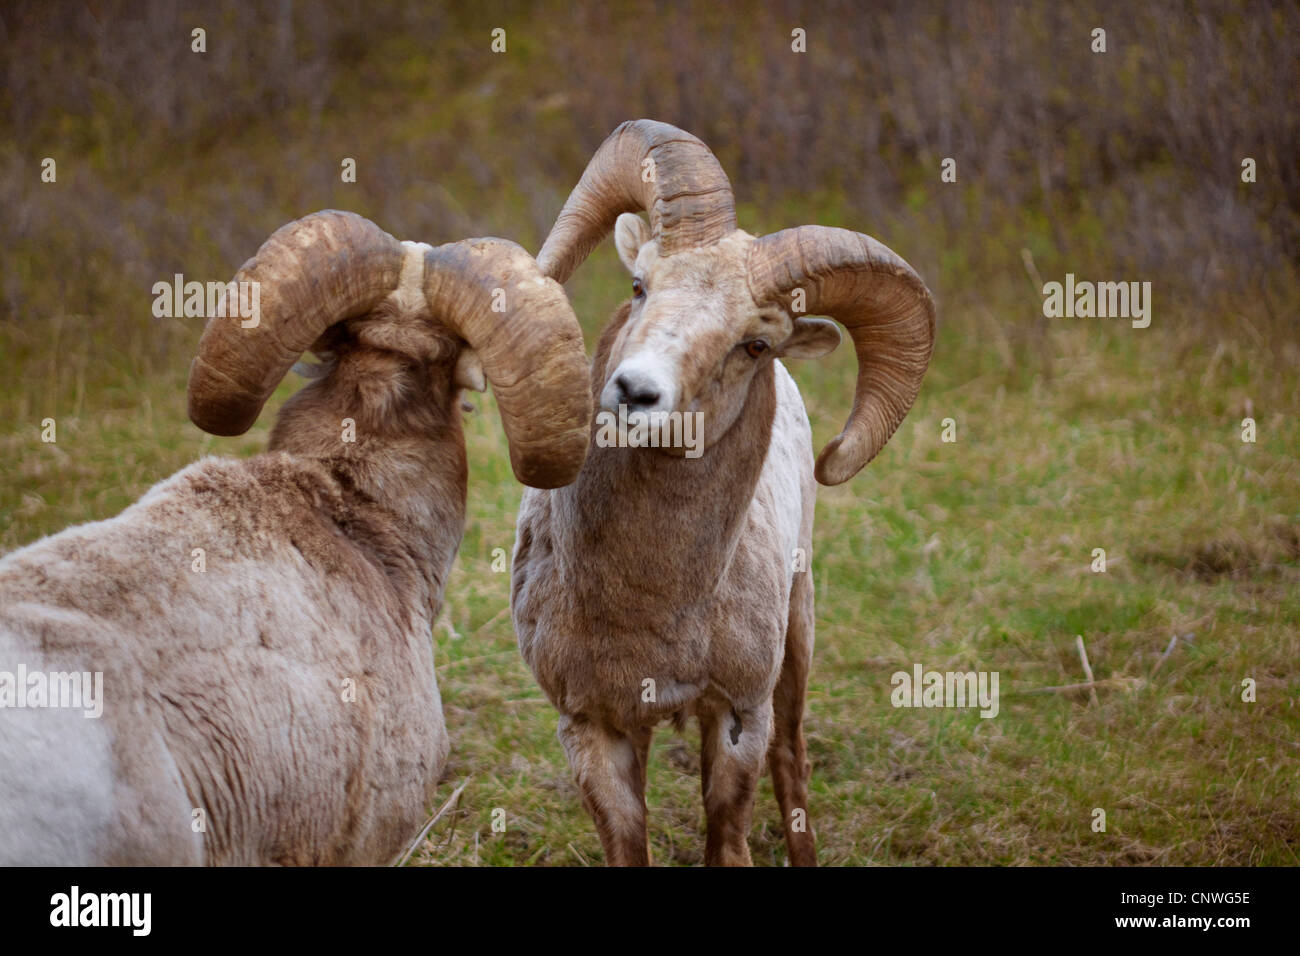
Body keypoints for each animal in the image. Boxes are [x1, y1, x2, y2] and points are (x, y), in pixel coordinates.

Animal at [509, 119, 935, 868]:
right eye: (639, 284)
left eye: (755, 344)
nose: (635, 393)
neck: (648, 605)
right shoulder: (592, 726)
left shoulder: (740, 716)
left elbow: (728, 833)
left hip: (796, 639)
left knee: (792, 762)